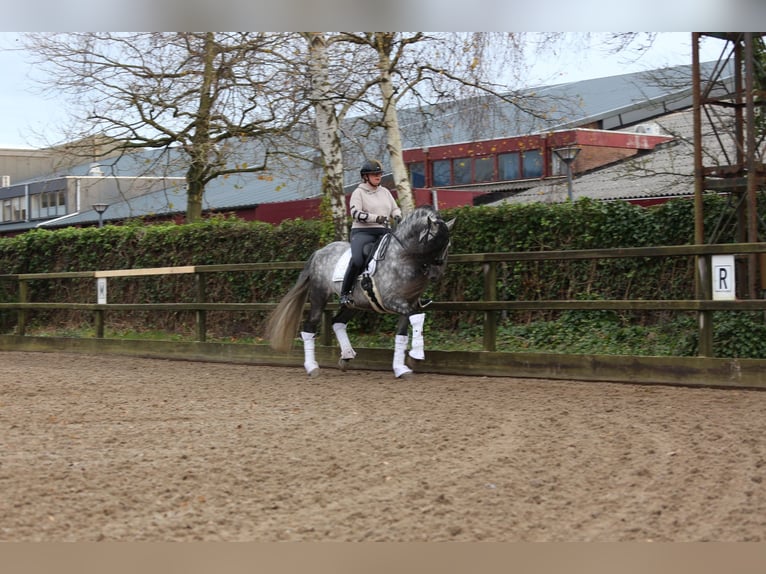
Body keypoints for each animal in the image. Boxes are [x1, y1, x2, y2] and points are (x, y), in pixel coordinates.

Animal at [266, 206, 456, 378]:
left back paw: (346, 357)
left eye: (448, 244)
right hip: (319, 295)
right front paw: (416, 356)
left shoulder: (407, 303)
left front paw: (401, 368)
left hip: (355, 303)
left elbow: (403, 333)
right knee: (310, 327)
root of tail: (319, 252)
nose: (436, 274)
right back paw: (312, 367)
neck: (403, 257)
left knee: (338, 322)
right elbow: (417, 318)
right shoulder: (393, 301)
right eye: (433, 240)